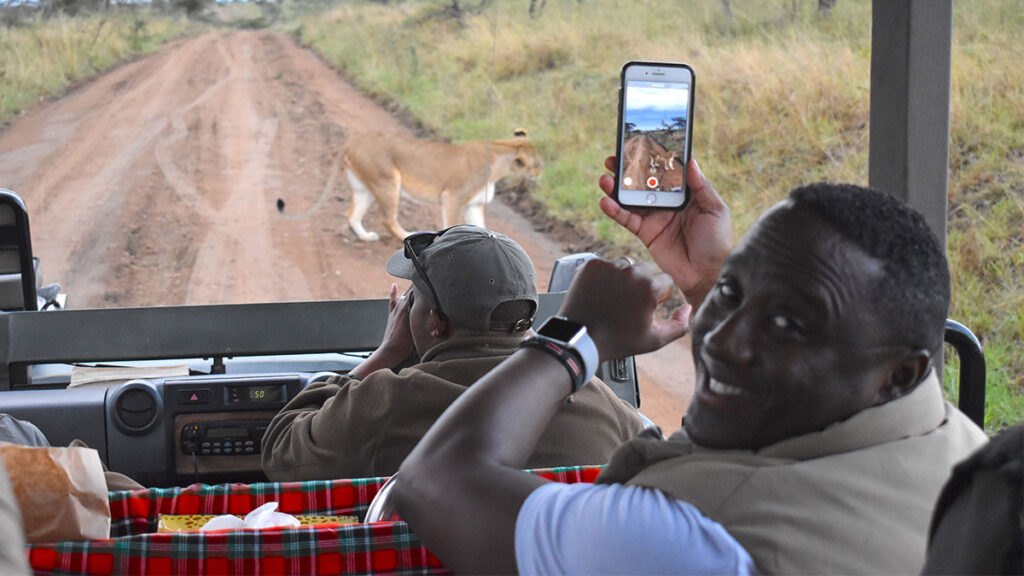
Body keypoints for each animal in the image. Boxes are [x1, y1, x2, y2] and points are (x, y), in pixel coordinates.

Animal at [342, 128, 544, 239]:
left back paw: (366, 237)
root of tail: (352, 142)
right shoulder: (454, 197)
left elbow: (481, 226)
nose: (542, 172)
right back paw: (407, 236)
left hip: (366, 187)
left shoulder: (474, 205)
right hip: (387, 182)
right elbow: (452, 223)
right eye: (536, 164)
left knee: (352, 215)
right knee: (387, 219)